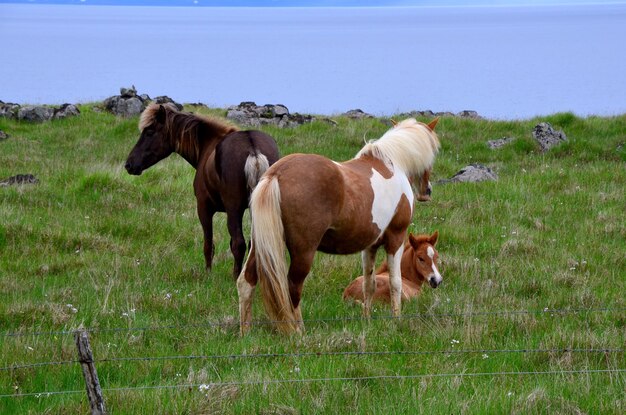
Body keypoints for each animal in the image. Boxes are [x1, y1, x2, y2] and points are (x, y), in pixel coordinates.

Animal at [125, 104, 280, 280]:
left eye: (149, 132)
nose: (129, 164)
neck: (208, 145)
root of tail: (253, 149)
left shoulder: (204, 208)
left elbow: (208, 245)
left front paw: (207, 274)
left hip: (234, 210)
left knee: (238, 243)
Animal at [235, 118, 438, 334]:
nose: (427, 191)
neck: (393, 165)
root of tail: (276, 174)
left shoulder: (370, 246)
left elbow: (369, 284)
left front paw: (367, 320)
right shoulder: (396, 238)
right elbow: (395, 282)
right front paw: (396, 321)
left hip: (260, 245)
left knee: (246, 281)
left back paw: (245, 332)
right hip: (303, 252)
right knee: (292, 288)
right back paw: (299, 332)